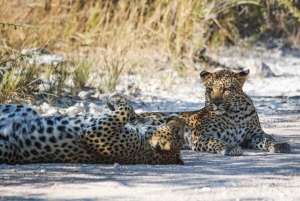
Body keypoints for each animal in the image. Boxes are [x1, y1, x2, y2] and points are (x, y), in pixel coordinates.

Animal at [0, 93, 185, 164]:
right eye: (179, 133)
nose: (180, 119)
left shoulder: (95, 135)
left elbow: (124, 111)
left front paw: (115, 98)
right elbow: (130, 113)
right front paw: (115, 100)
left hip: (8, 148)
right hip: (26, 109)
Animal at [135, 69, 292, 155]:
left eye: (225, 89)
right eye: (210, 90)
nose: (216, 103)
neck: (235, 115)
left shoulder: (254, 135)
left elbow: (268, 138)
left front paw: (279, 145)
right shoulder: (202, 137)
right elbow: (217, 142)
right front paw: (230, 148)